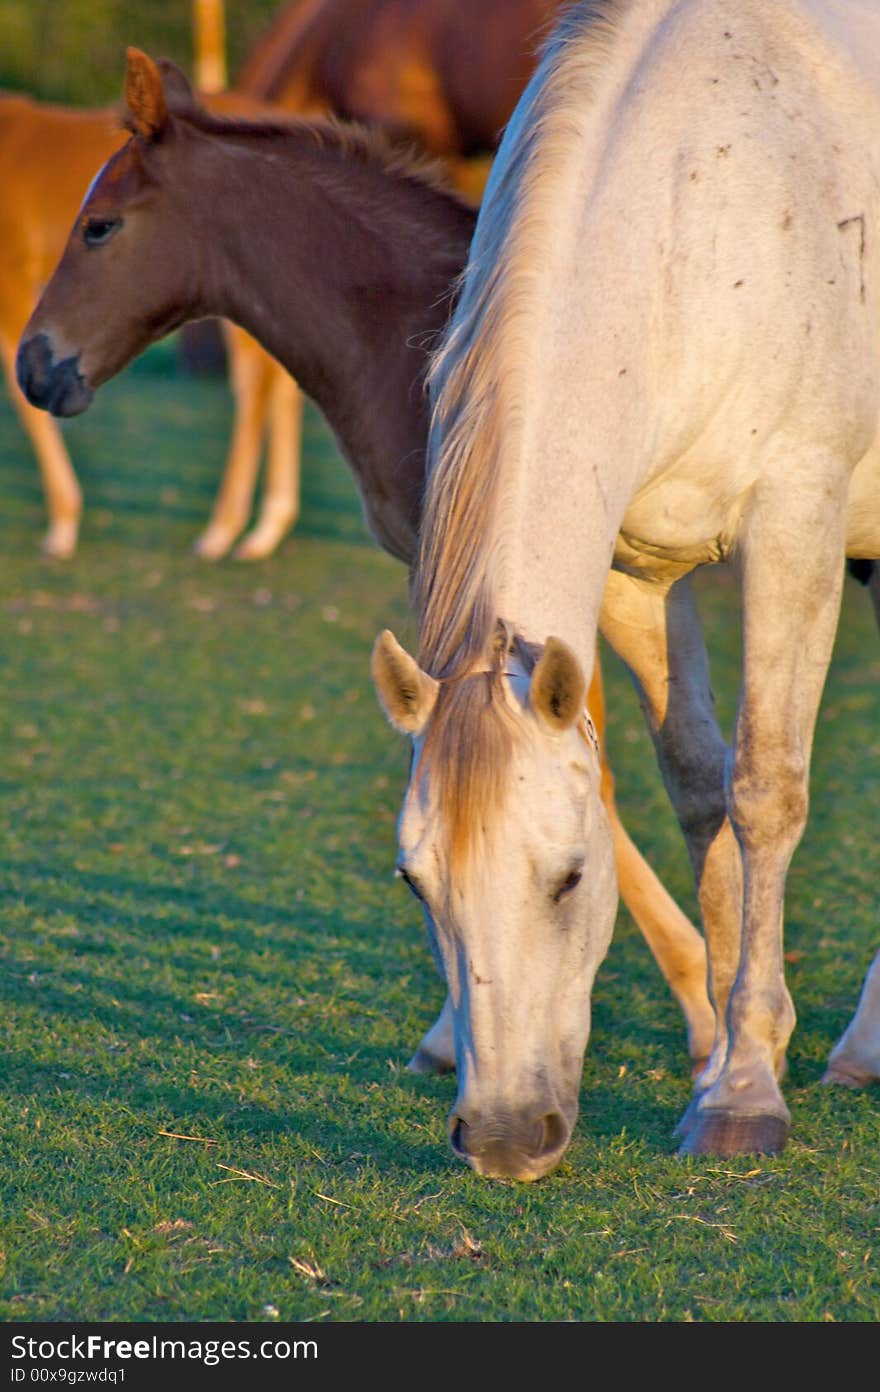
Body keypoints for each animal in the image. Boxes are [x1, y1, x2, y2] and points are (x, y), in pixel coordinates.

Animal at [373, 0, 880, 1174]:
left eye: (568, 876)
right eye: (418, 884)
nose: (504, 1135)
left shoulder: (797, 521)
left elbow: (765, 788)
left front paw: (743, 1093)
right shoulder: (634, 567)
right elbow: (699, 785)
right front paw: (734, 1048)